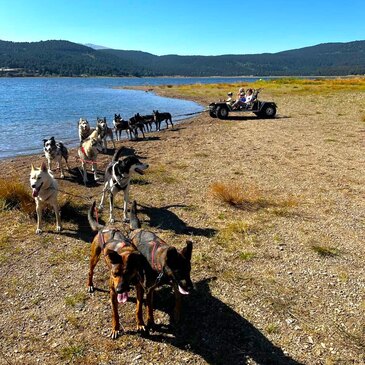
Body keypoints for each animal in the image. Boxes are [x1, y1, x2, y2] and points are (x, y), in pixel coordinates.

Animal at [86, 200, 146, 336]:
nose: (119, 290)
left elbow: (138, 309)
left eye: (128, 273)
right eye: (114, 274)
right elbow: (115, 313)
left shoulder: (139, 288)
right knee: (90, 272)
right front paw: (115, 328)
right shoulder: (112, 292)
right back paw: (90, 284)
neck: (124, 252)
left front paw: (140, 323)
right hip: (94, 258)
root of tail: (103, 227)